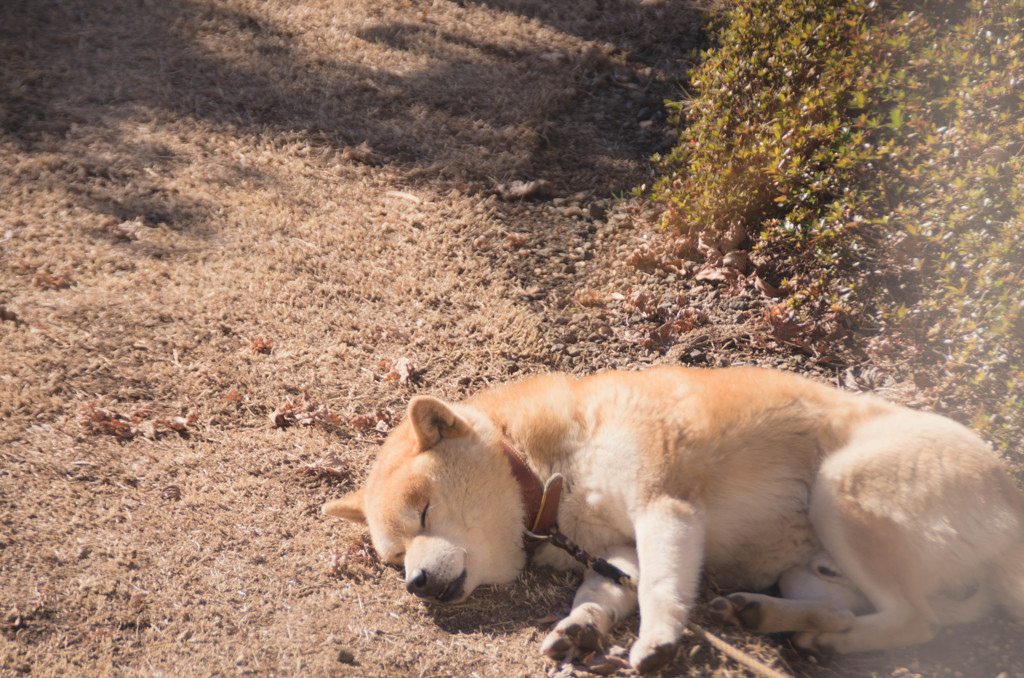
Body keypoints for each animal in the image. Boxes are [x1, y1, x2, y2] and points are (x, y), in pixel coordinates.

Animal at [321, 368, 1024, 671]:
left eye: (423, 512)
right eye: (392, 558)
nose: (414, 583)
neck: (553, 476)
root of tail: (1010, 506)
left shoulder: (666, 508)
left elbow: (662, 588)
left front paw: (657, 639)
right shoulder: (615, 550)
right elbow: (600, 592)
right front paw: (580, 628)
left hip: (838, 490)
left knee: (916, 619)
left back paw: (831, 642)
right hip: (810, 568)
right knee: (859, 608)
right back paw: (771, 618)